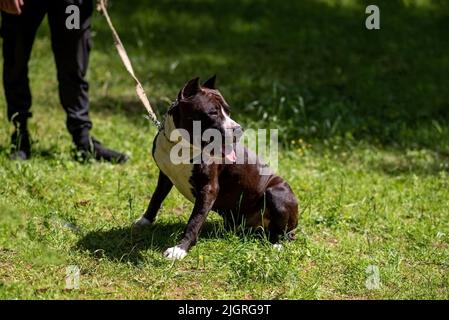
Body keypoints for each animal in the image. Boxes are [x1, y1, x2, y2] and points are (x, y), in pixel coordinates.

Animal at [135, 77, 300, 260]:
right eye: (213, 112)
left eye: (228, 111)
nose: (238, 129)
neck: (181, 145)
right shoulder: (165, 176)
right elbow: (156, 198)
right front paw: (145, 220)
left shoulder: (208, 189)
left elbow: (194, 220)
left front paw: (180, 249)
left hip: (276, 193)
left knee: (287, 233)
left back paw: (277, 244)